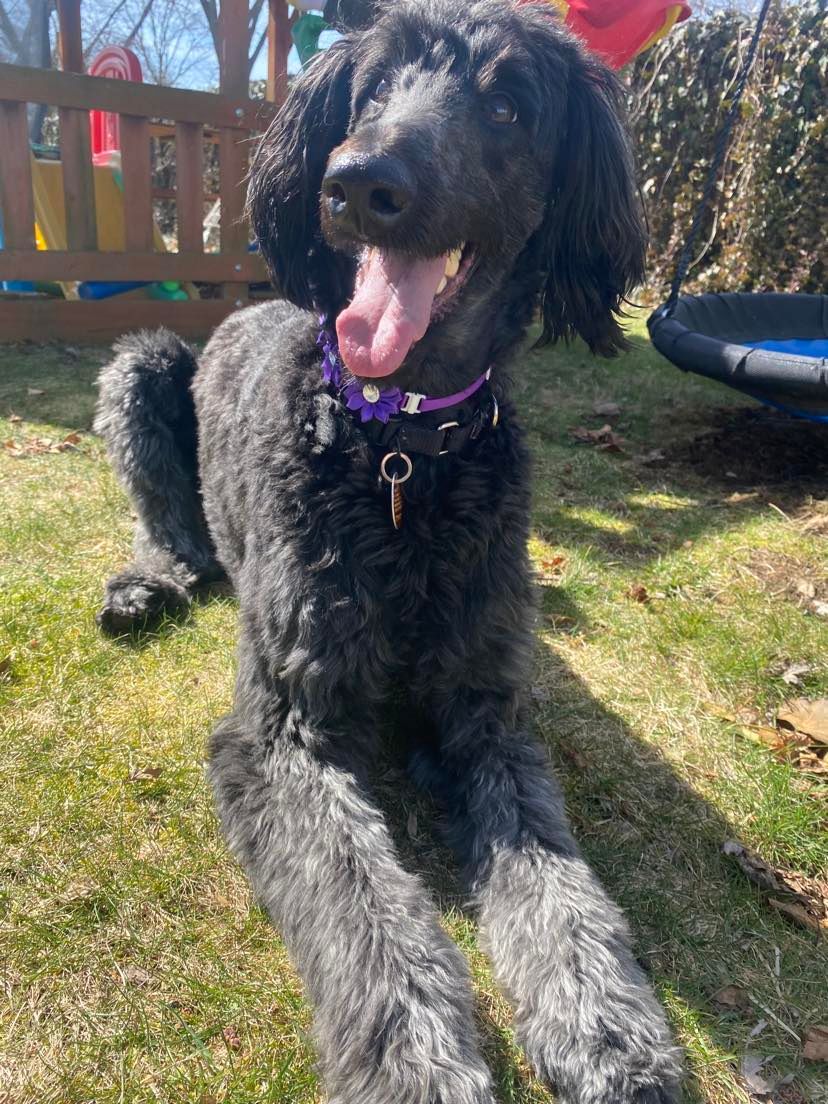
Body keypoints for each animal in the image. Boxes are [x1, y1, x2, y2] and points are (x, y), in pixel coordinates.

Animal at [94, 1, 683, 1100]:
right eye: (371, 88)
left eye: (509, 103)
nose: (361, 181)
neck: (399, 449)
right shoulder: (285, 731)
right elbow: (363, 903)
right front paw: (419, 1059)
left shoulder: (486, 718)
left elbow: (559, 882)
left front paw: (606, 1024)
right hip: (144, 369)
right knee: (175, 533)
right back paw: (148, 584)